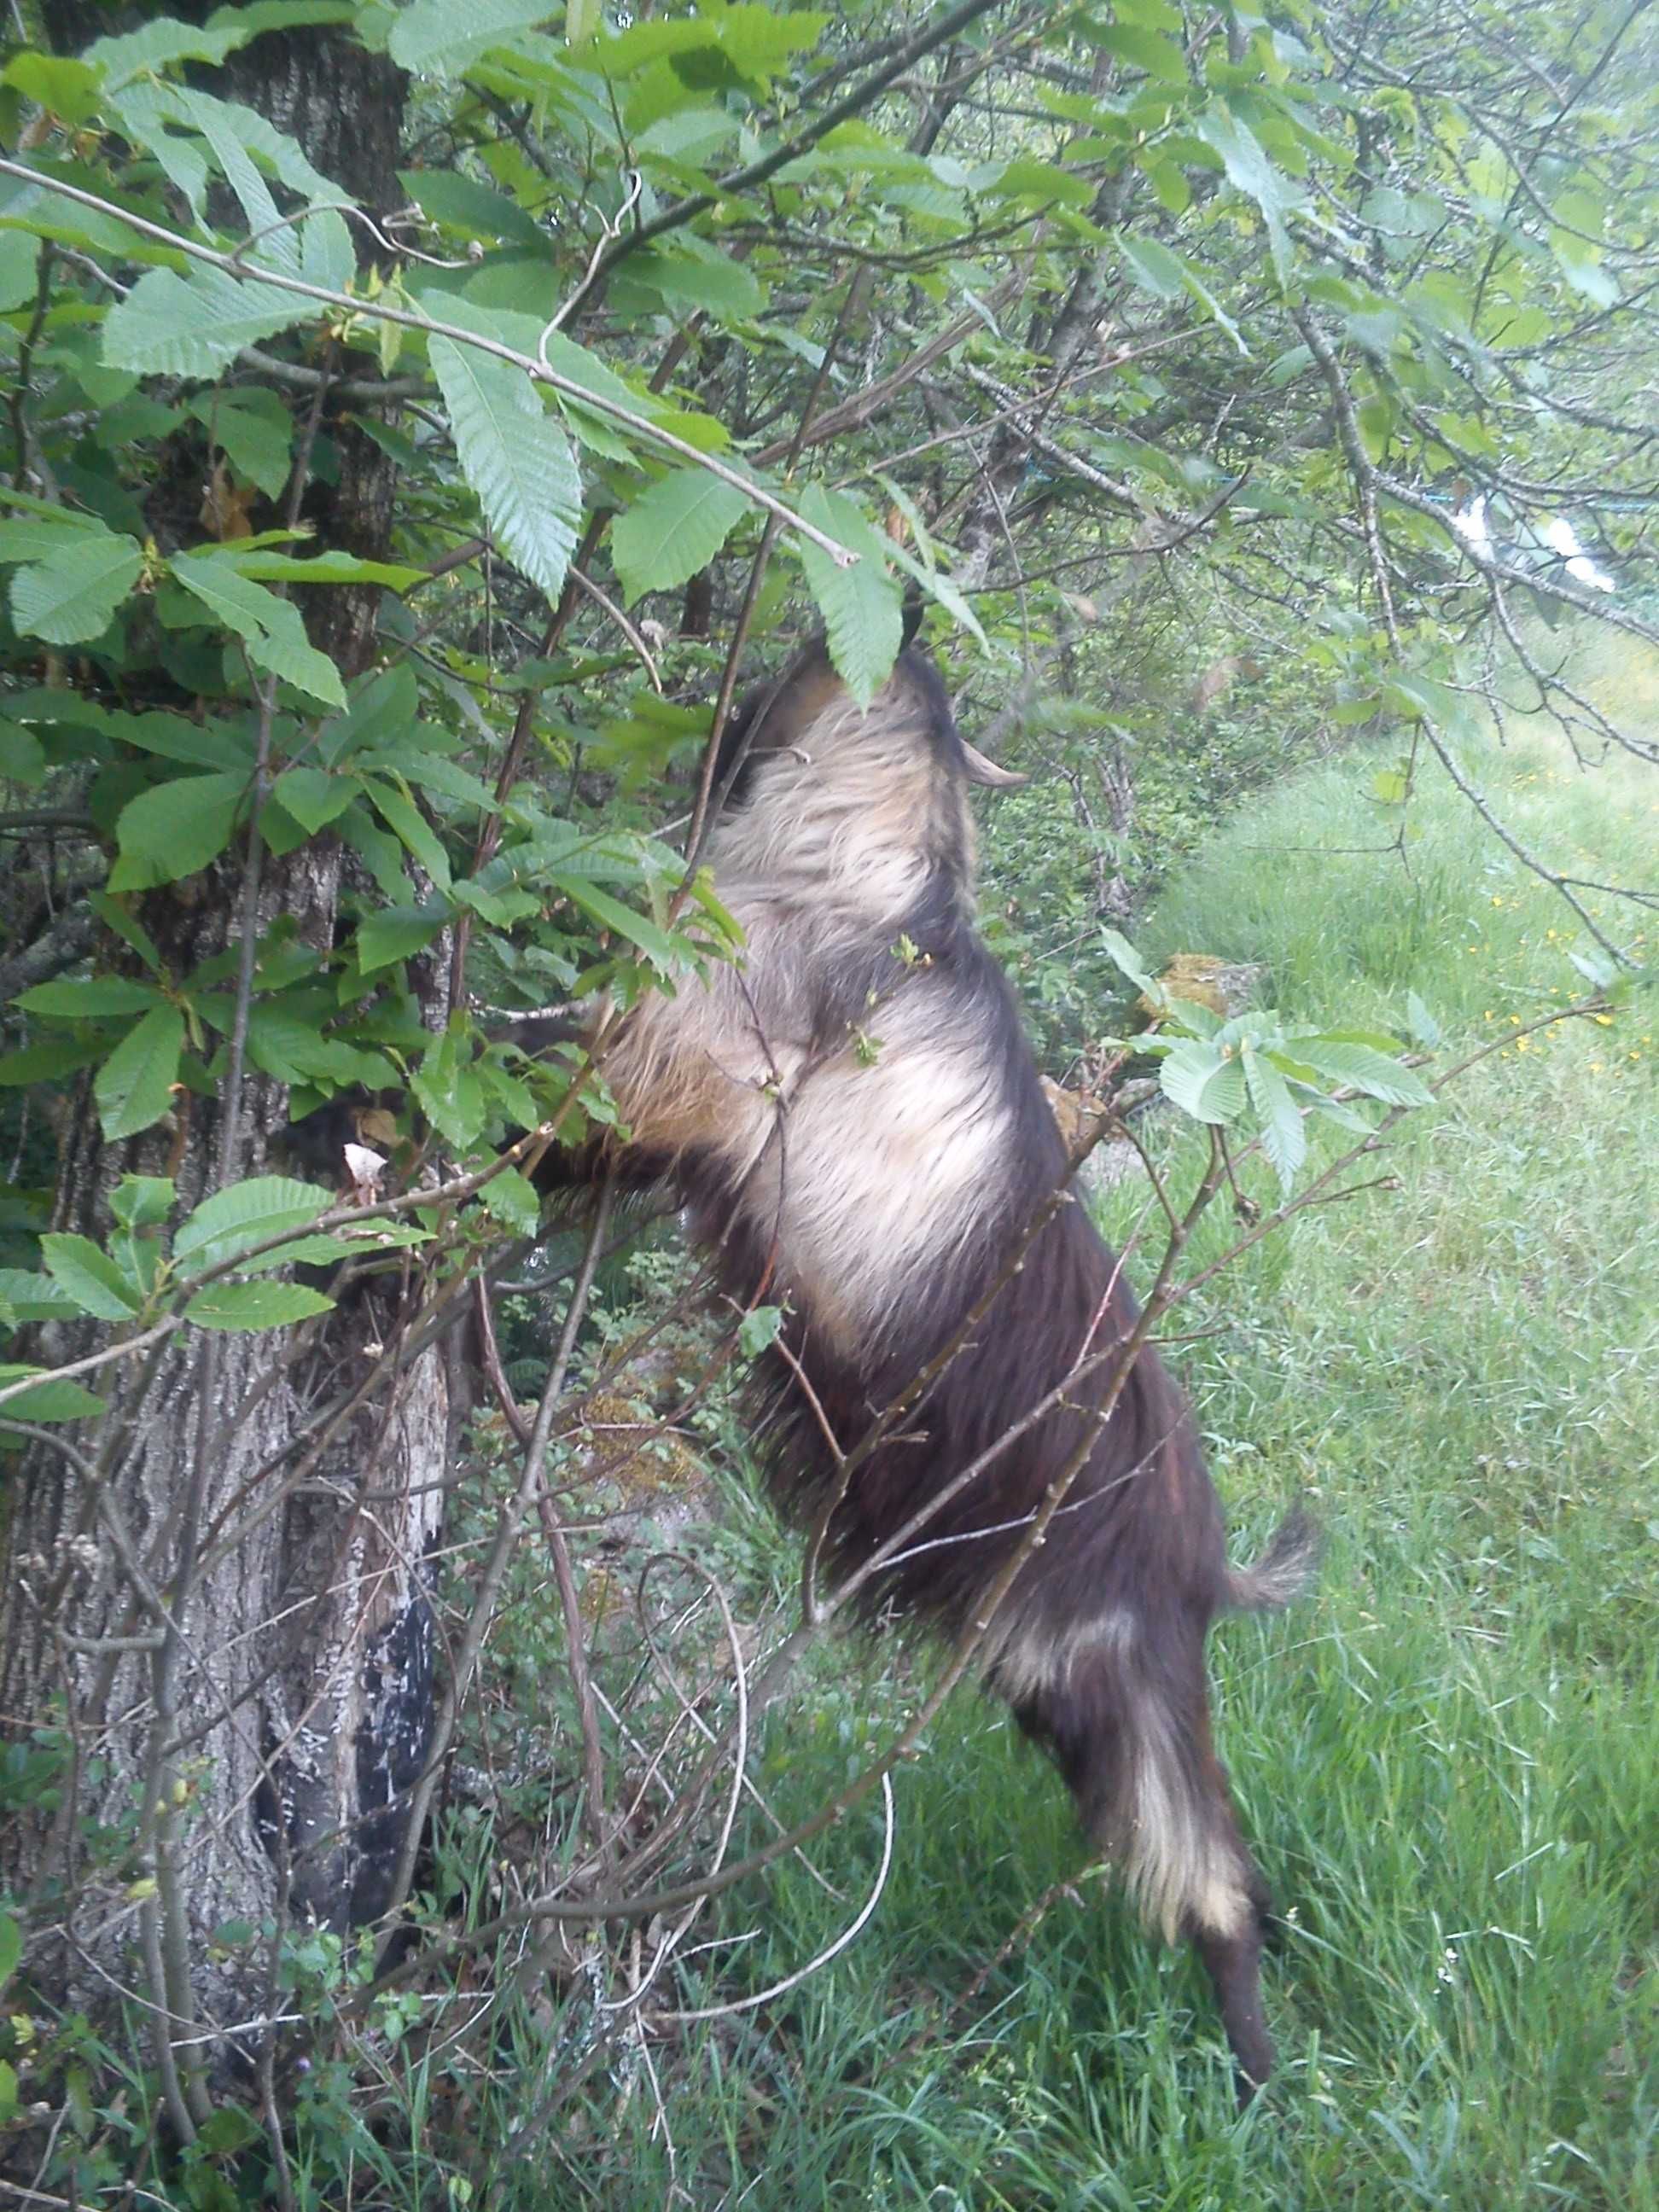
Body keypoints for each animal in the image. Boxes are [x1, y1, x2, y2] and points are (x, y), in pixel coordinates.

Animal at [533, 641, 1309, 2087]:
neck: (871, 880)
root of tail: (1208, 1556)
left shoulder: (678, 1056)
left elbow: (548, 1078)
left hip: (1114, 1677)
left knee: (1213, 1878)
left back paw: (1256, 2076)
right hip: (1050, 1680)